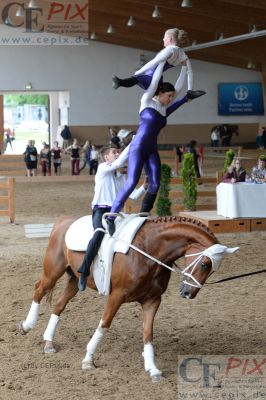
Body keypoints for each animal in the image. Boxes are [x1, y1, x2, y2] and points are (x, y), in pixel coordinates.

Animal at [19, 216, 235, 382]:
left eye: (212, 269)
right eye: (205, 264)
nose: (188, 293)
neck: (149, 251)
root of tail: (63, 221)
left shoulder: (152, 300)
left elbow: (148, 333)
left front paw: (152, 368)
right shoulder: (116, 296)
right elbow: (104, 324)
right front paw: (88, 359)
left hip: (74, 280)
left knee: (58, 305)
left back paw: (48, 342)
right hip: (53, 272)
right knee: (39, 289)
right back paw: (27, 326)